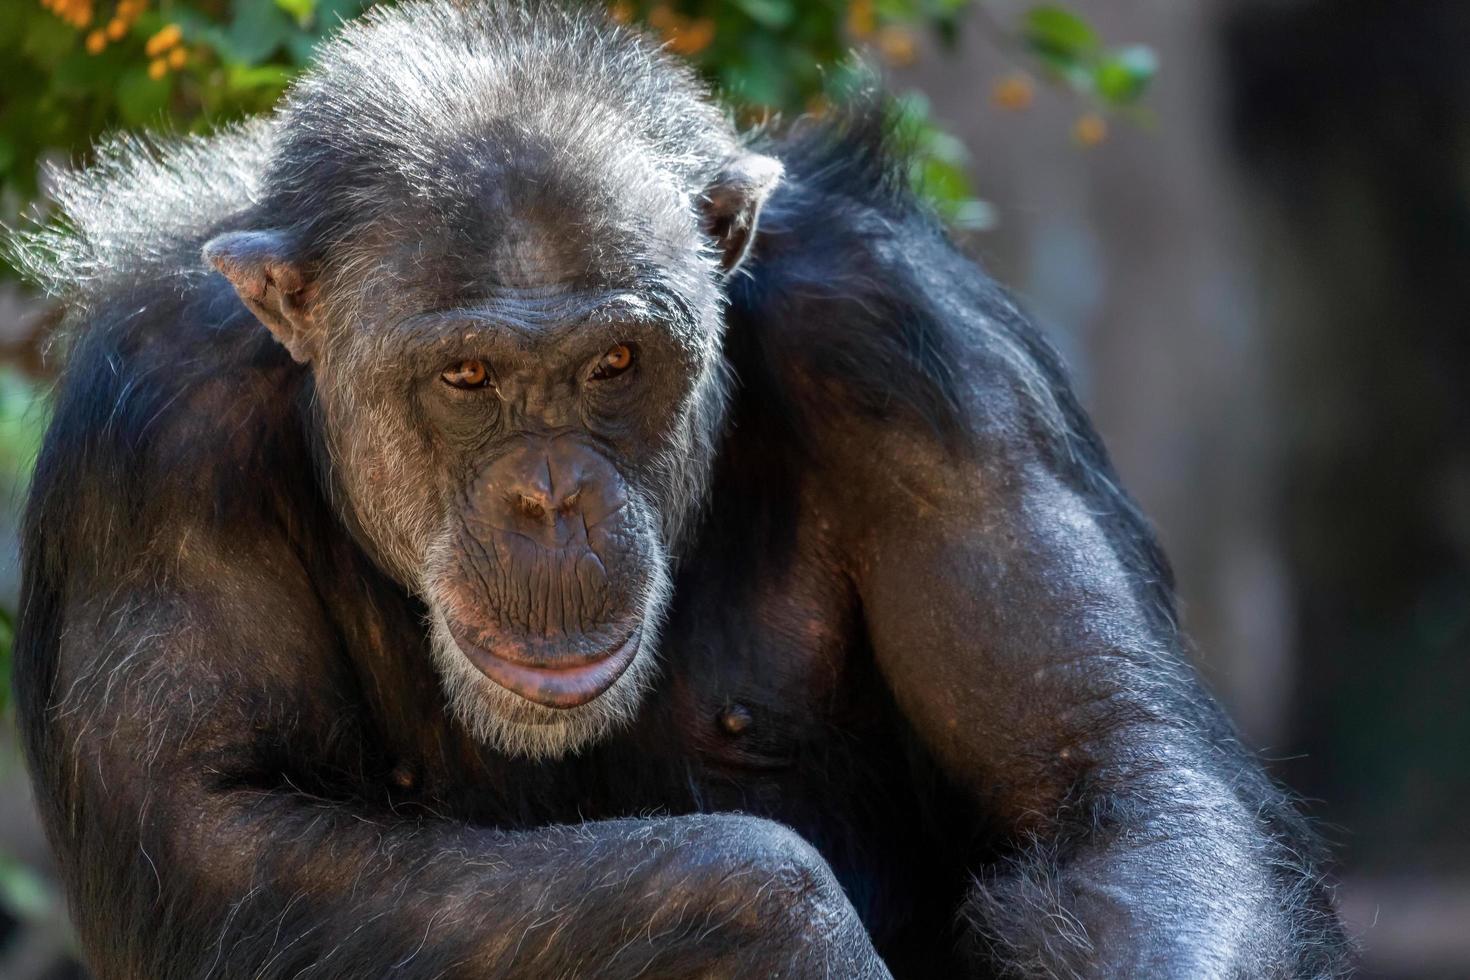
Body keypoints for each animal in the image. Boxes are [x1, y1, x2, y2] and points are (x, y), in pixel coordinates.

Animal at [5, 1, 1346, 980]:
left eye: (615, 362)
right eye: (466, 375)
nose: (551, 497)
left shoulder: (931, 367)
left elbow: (1109, 780)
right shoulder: (157, 450)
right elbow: (215, 826)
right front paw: (781, 923)